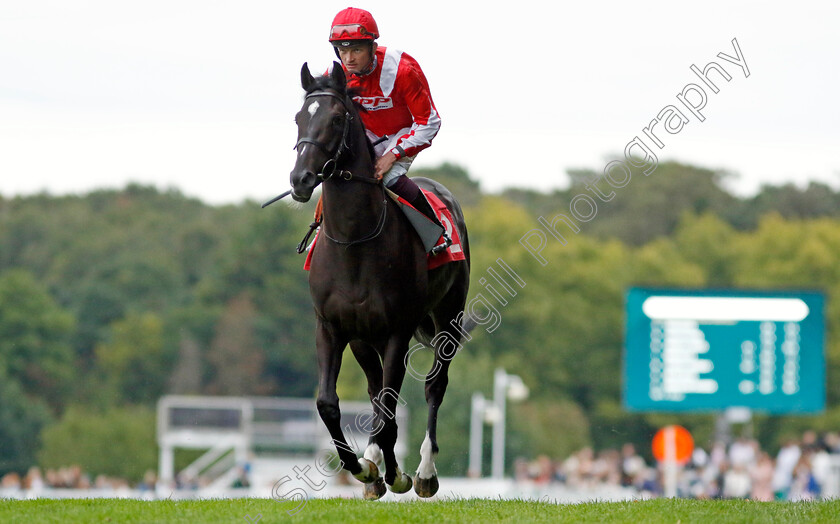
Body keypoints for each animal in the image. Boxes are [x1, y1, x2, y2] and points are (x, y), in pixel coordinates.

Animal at [288, 62, 470, 500]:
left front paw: (397, 474)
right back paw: (373, 461)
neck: (355, 241)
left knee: (434, 385)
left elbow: (392, 409)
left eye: (337, 119)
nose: (301, 178)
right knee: (374, 391)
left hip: (449, 317)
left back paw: (423, 472)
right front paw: (362, 467)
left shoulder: (397, 331)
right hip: (361, 338)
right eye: (299, 117)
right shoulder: (331, 327)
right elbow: (329, 404)